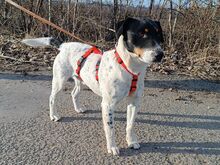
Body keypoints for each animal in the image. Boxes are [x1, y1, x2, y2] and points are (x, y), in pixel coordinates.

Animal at [27, 17, 163, 155]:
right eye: (142, 33)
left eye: (158, 34)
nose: (160, 54)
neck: (128, 67)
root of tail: (64, 45)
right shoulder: (108, 104)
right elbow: (110, 128)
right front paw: (112, 147)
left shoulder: (134, 102)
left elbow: (130, 125)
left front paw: (131, 141)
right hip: (59, 81)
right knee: (52, 98)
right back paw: (53, 115)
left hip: (80, 80)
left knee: (73, 93)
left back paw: (78, 108)